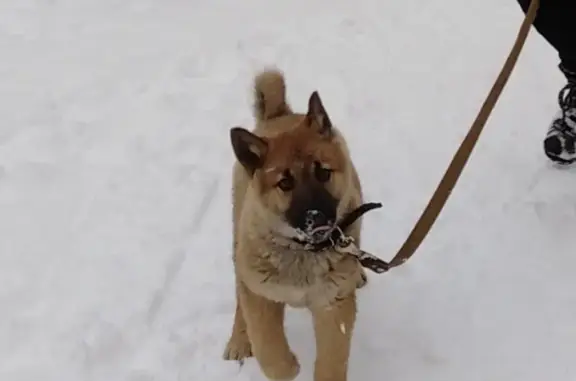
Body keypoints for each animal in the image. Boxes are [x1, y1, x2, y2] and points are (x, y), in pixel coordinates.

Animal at [223, 68, 366, 380]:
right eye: (285, 183)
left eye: (323, 172)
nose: (316, 217)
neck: (302, 251)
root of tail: (280, 114)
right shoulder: (261, 295)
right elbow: (268, 347)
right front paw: (288, 367)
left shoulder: (331, 303)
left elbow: (332, 359)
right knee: (239, 294)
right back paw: (238, 340)